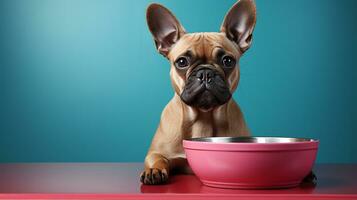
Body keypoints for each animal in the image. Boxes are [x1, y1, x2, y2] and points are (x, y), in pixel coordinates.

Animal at [140, 0, 256, 184]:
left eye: (228, 61)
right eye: (181, 62)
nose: (206, 73)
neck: (203, 117)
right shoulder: (156, 152)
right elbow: (157, 159)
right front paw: (154, 170)